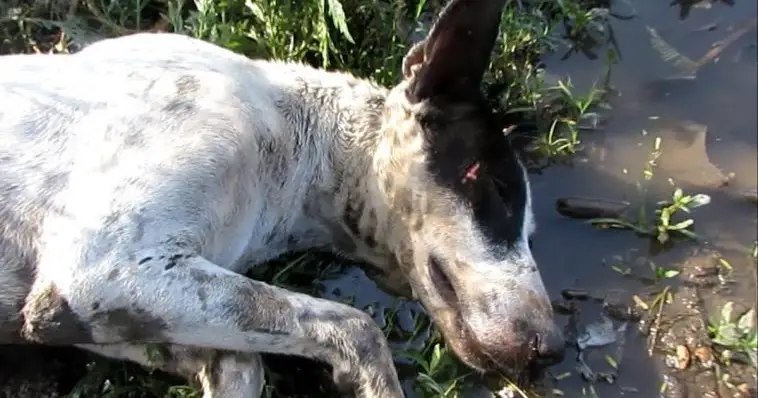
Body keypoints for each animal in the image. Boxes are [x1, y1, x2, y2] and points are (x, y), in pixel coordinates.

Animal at [0, 0, 568, 394]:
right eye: (496, 188)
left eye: (532, 231)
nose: (553, 350)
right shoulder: (97, 272)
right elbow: (359, 325)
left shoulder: (90, 316)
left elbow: (241, 362)